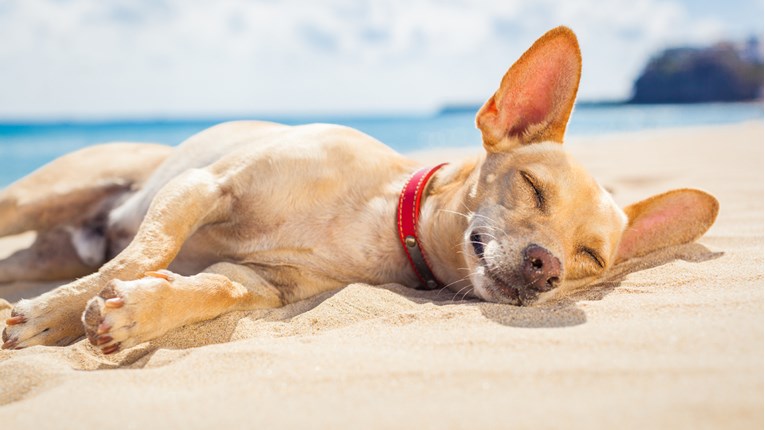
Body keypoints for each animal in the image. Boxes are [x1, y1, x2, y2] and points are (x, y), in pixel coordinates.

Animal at [0, 27, 720, 356]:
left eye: (590, 258)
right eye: (533, 186)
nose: (547, 268)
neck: (378, 216)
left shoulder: (265, 282)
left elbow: (213, 289)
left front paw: (136, 313)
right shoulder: (205, 185)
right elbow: (143, 255)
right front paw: (50, 315)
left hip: (45, 248)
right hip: (40, 199)